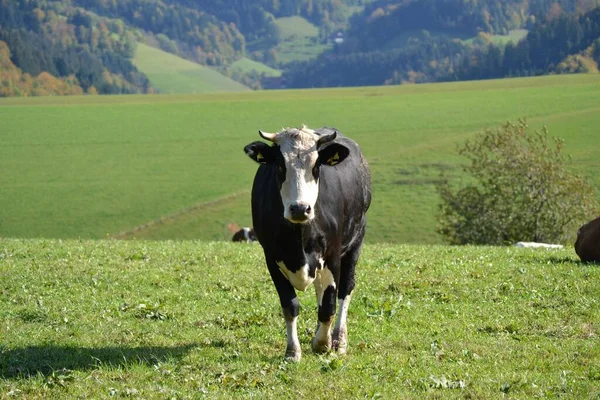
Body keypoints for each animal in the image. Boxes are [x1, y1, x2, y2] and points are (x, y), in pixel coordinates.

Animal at [244, 126, 370, 362]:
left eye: (316, 165)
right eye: (280, 165)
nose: (300, 208)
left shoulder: (332, 255)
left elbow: (329, 305)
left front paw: (322, 344)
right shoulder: (271, 258)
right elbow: (290, 305)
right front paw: (293, 351)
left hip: (356, 241)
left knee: (345, 289)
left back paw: (338, 339)